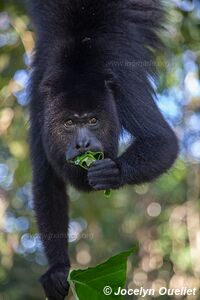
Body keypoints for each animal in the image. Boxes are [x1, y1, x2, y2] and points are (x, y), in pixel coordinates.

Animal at [28, 1, 178, 298]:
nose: (83, 144)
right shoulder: (41, 104)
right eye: (69, 123)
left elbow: (162, 141)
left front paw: (112, 172)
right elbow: (46, 177)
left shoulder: (124, 85)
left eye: (93, 121)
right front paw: (58, 269)